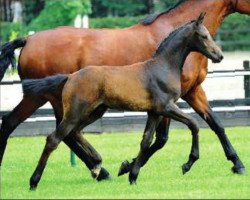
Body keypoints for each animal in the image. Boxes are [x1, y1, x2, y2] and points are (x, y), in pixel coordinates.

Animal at [23, 13, 223, 188]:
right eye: (204, 36)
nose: (219, 56)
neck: (163, 67)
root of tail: (70, 77)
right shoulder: (166, 107)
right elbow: (194, 124)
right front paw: (187, 164)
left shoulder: (154, 112)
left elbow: (146, 141)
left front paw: (132, 175)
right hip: (76, 112)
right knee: (54, 139)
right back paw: (34, 181)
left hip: (95, 111)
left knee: (75, 132)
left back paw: (97, 166)